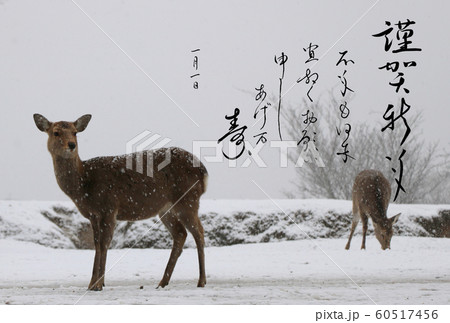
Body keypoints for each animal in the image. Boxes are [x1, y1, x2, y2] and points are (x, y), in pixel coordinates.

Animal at [33, 114, 209, 292]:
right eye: (56, 132)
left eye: (75, 132)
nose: (71, 145)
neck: (84, 185)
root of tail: (203, 171)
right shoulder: (93, 215)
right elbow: (96, 244)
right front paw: (92, 284)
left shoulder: (109, 207)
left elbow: (104, 243)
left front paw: (98, 284)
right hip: (166, 209)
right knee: (181, 233)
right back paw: (162, 282)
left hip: (187, 200)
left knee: (199, 232)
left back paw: (201, 281)